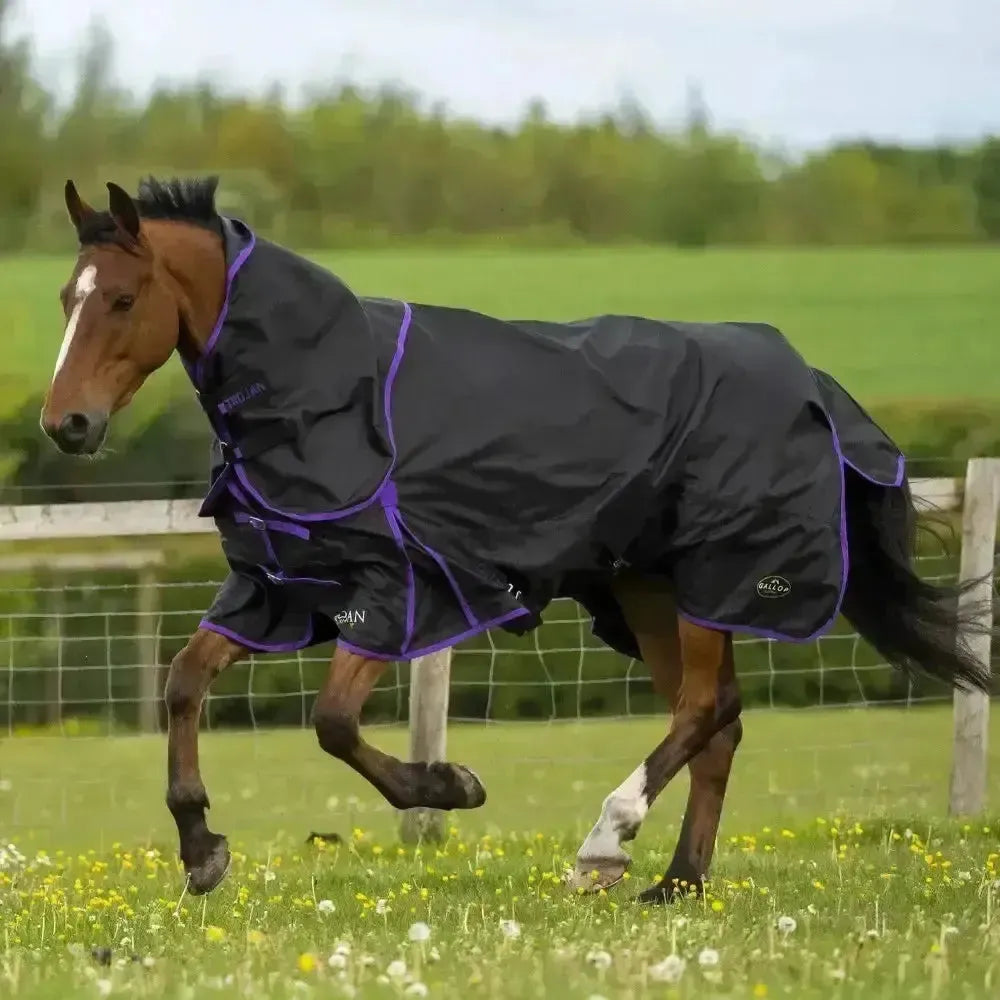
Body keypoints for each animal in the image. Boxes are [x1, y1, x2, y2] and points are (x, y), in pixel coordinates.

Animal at [41, 176, 992, 902]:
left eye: (122, 298)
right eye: (65, 298)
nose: (65, 425)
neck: (324, 393)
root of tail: (811, 381)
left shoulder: (396, 591)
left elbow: (334, 724)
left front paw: (451, 787)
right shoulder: (275, 589)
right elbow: (182, 683)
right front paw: (201, 848)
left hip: (715, 580)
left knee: (702, 710)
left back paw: (606, 843)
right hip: (651, 589)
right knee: (717, 721)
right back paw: (676, 881)